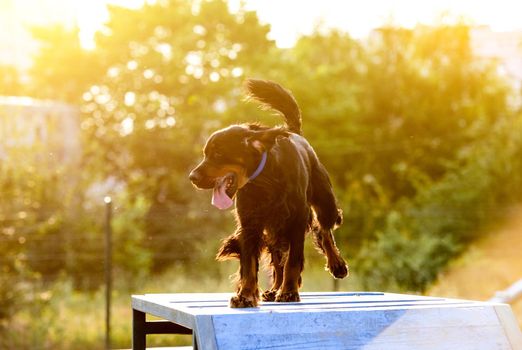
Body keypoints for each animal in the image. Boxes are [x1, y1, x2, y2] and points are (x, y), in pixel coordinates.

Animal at [189, 78, 348, 306]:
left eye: (218, 153)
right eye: (205, 154)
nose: (192, 177)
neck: (265, 179)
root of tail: (296, 133)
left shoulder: (296, 219)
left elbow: (293, 260)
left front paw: (289, 291)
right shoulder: (250, 224)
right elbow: (249, 264)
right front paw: (246, 295)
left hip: (325, 203)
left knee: (323, 229)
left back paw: (337, 264)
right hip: (274, 227)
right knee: (277, 258)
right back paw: (273, 289)